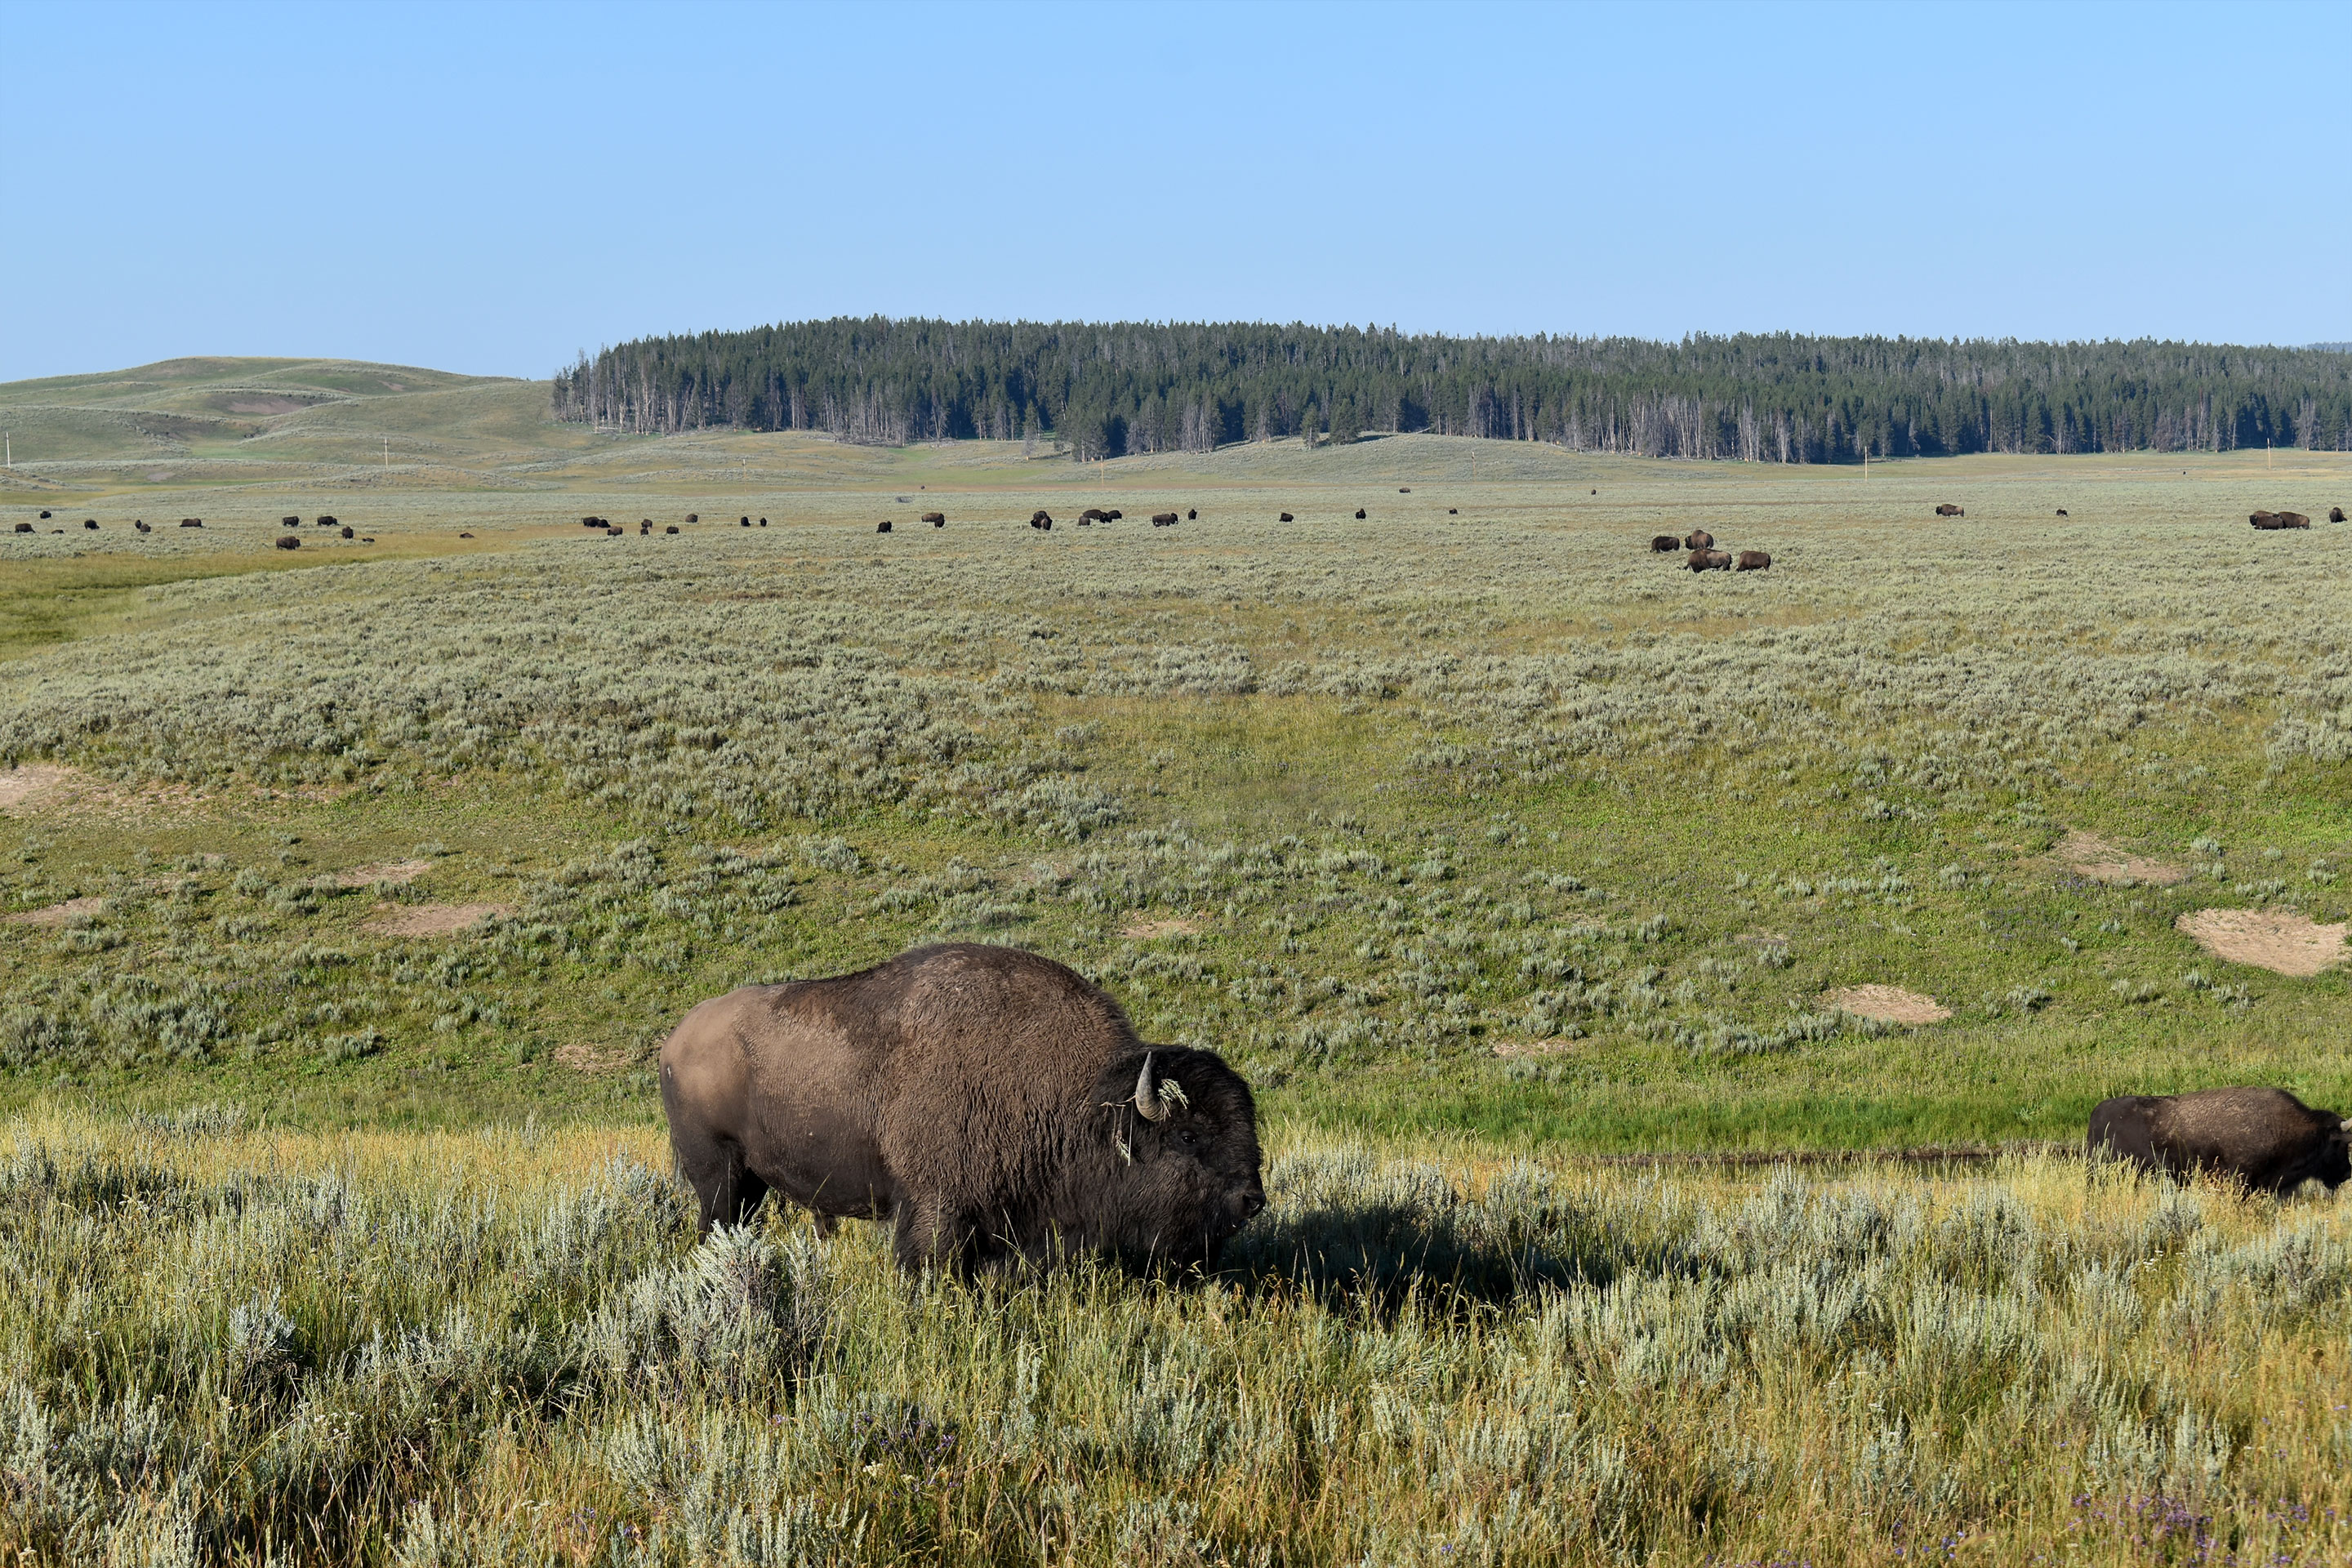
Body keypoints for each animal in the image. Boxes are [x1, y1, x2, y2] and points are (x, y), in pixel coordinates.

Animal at [659, 943, 1266, 1275]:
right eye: (1189, 1136)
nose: (1252, 1200)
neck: (1082, 1100)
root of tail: (675, 1041)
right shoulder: (936, 1207)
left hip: (751, 1183)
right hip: (718, 1177)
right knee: (713, 1226)